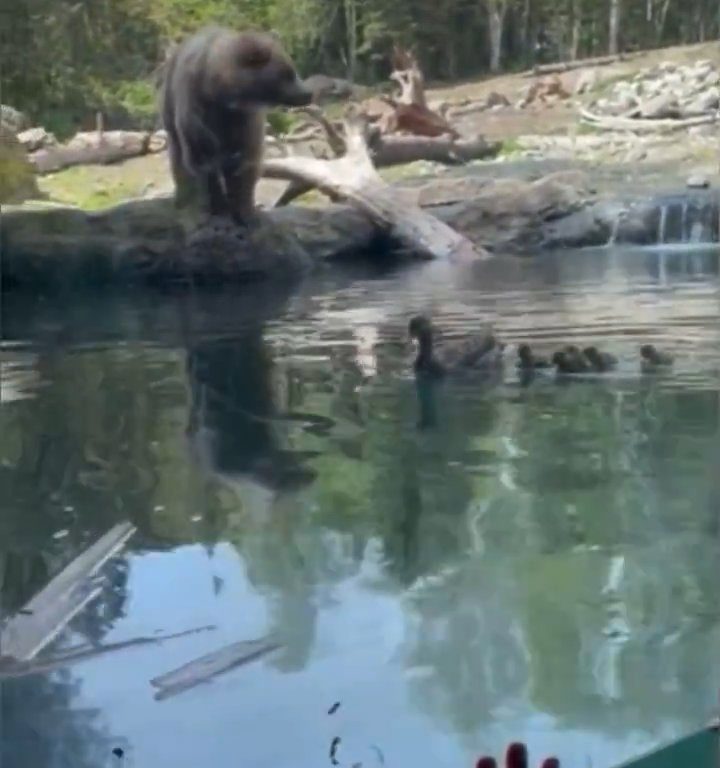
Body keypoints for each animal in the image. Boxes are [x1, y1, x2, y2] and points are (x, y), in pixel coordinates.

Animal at [162, 28, 310, 220]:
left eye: (292, 69)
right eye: (288, 73)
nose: (308, 93)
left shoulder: (244, 120)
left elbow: (246, 162)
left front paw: (245, 211)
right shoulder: (196, 108)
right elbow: (203, 159)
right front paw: (218, 206)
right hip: (170, 105)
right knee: (178, 154)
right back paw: (183, 198)